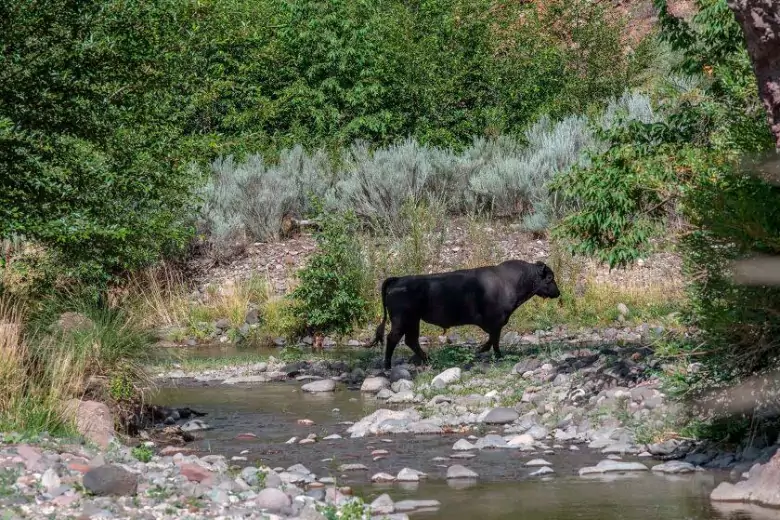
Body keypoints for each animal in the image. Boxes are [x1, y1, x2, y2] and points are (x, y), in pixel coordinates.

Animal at [372, 260, 560, 370]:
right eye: (550, 277)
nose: (558, 293)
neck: (510, 281)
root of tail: (397, 279)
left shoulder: (496, 323)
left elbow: (492, 338)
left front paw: (481, 350)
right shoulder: (497, 321)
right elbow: (495, 339)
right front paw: (496, 354)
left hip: (413, 321)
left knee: (411, 341)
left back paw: (429, 359)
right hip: (402, 321)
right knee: (393, 338)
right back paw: (388, 366)